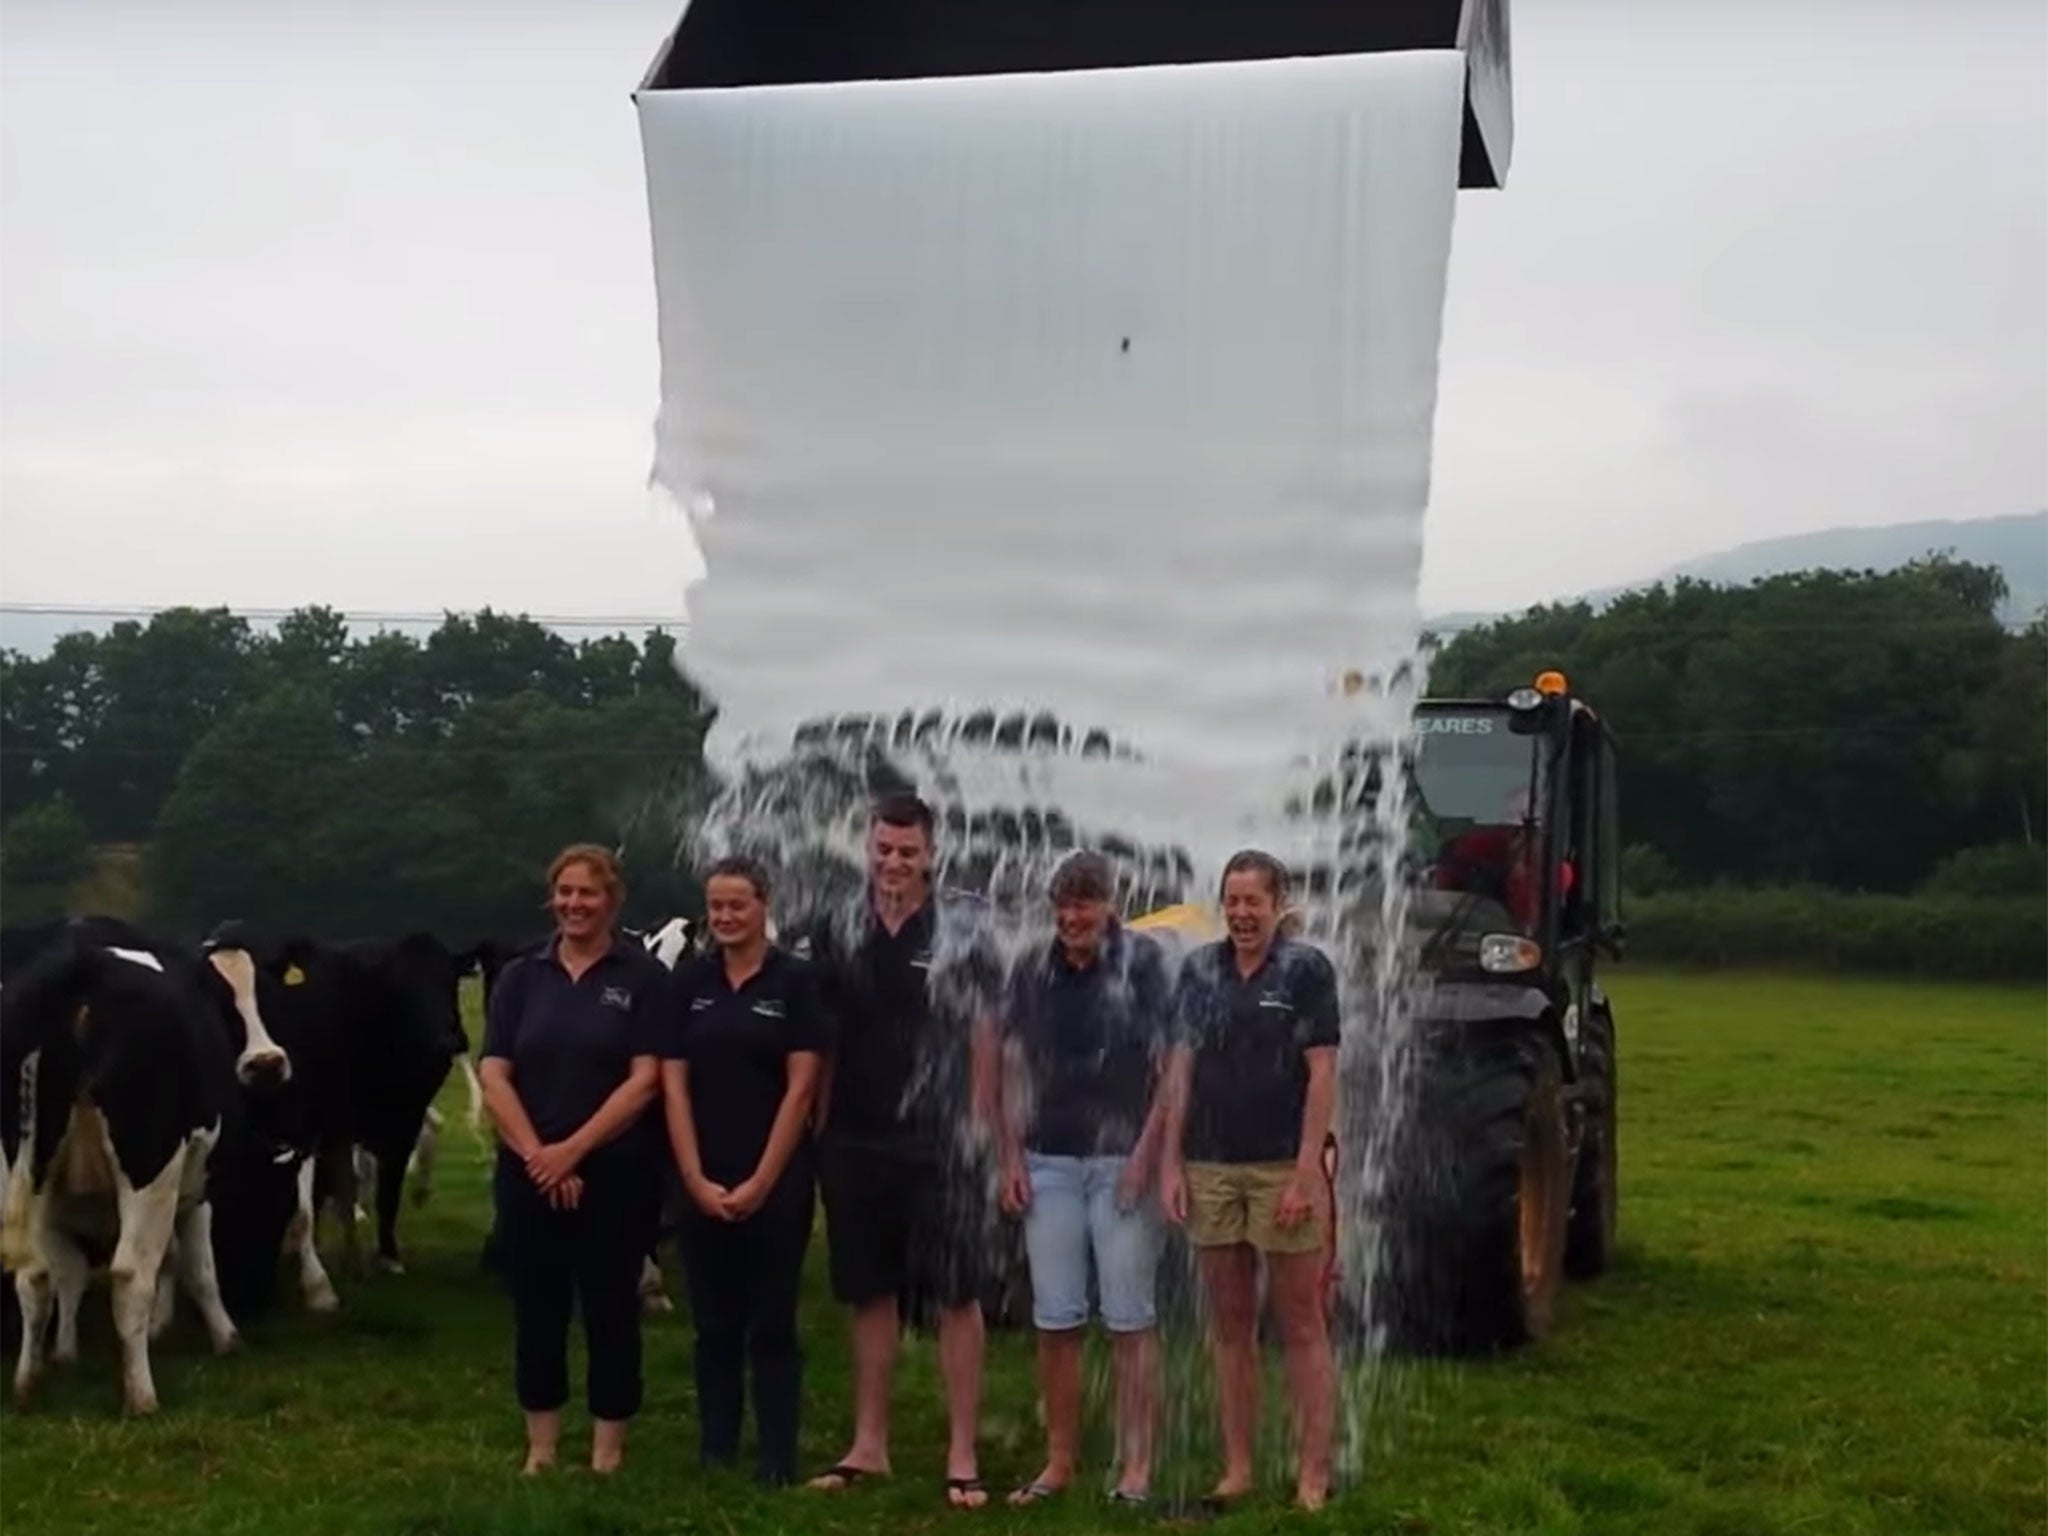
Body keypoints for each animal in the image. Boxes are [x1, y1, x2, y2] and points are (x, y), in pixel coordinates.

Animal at [0, 925, 296, 1417]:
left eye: (266, 991)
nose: (267, 1062)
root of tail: (81, 965)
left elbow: (73, 1272)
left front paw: (67, 1352)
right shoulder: (196, 1187)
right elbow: (198, 1265)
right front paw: (226, 1337)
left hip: (26, 1165)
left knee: (33, 1275)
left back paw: (26, 1385)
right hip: (149, 1168)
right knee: (129, 1276)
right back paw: (141, 1395)